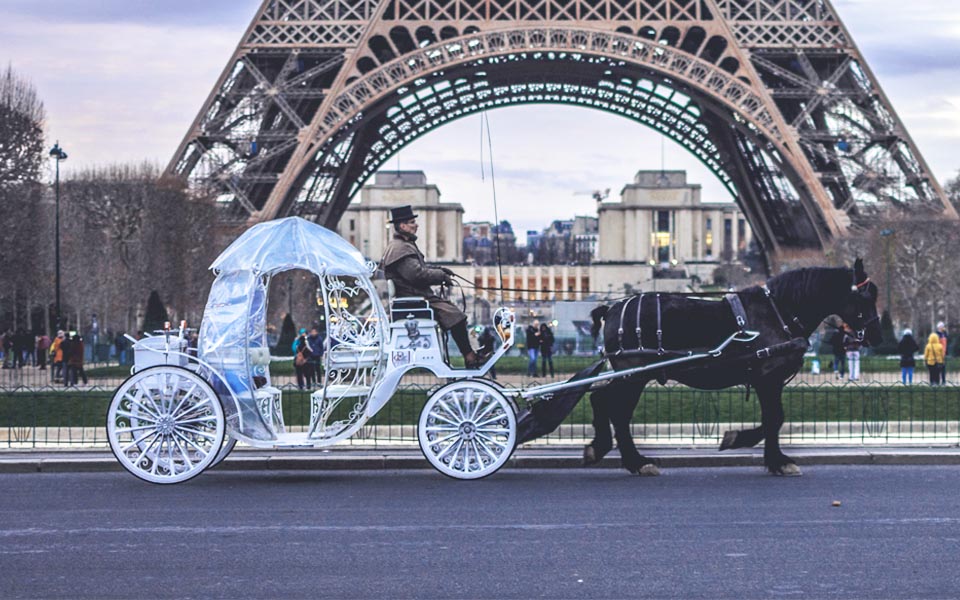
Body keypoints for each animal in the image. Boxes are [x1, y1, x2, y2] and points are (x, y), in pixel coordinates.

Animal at [580, 260, 880, 476]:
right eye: (867, 298)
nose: (876, 333)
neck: (779, 312)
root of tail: (612, 308)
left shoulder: (767, 381)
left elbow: (772, 419)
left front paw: (755, 448)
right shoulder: (768, 378)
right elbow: (775, 418)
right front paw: (769, 456)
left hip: (631, 376)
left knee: (602, 400)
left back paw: (606, 449)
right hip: (634, 375)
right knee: (617, 411)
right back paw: (636, 461)